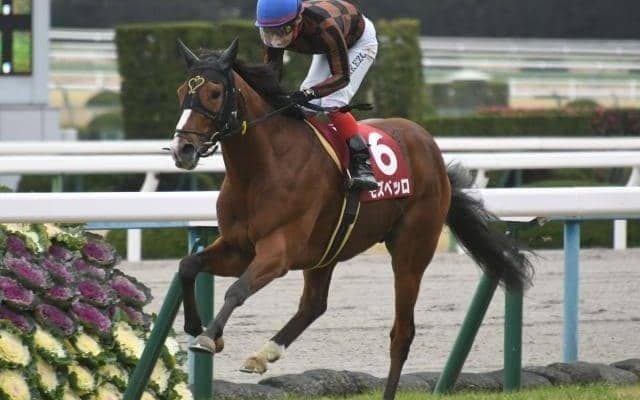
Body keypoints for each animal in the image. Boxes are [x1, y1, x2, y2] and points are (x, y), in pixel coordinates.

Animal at [169, 38, 534, 400]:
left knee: (402, 333)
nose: (182, 149)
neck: (260, 169)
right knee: (314, 304)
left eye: (215, 92)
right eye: (181, 90)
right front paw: (196, 327)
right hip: (326, 250)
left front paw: (208, 337)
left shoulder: (278, 252)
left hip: (411, 251)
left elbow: (237, 290)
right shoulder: (238, 247)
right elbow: (188, 265)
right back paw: (263, 354)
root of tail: (432, 150)